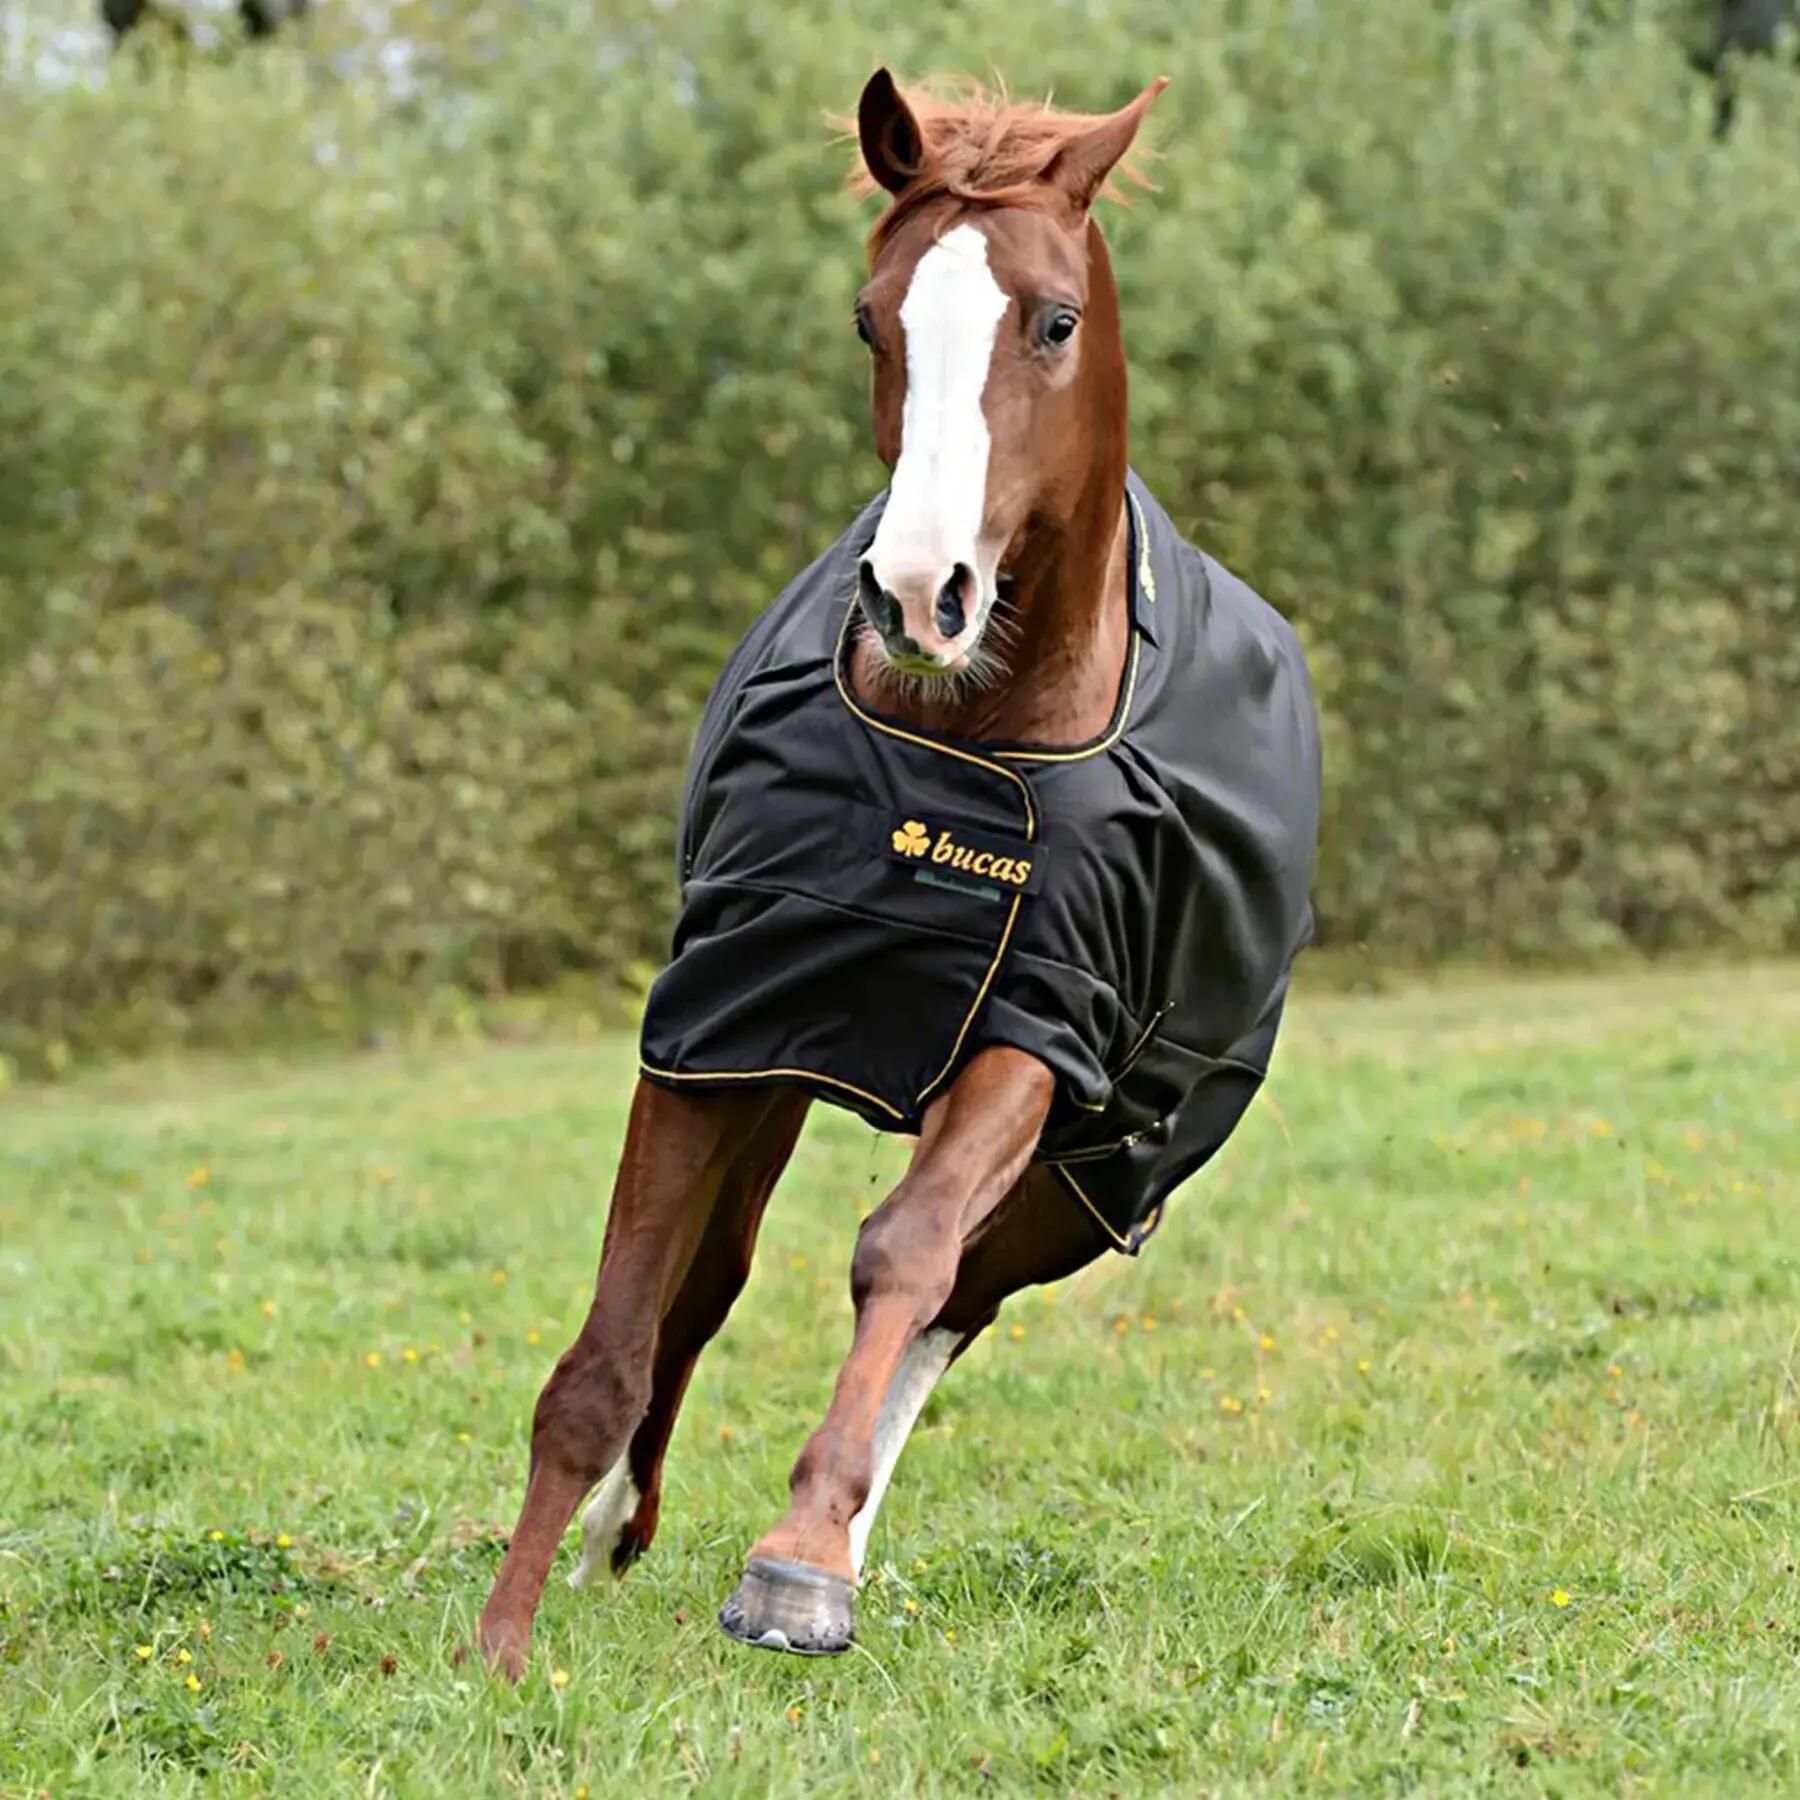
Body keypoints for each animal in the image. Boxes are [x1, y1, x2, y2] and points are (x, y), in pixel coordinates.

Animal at [477, 68, 1321, 1674]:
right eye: (873, 321)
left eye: (1053, 321)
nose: (923, 594)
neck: (967, 746)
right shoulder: (726, 1017)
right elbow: (623, 1332)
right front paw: (502, 1635)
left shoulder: (1039, 1025)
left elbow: (905, 1253)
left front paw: (800, 1560)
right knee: (712, 1291)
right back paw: (630, 1526)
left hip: (1098, 1174)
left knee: (955, 1303)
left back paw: (842, 1537)